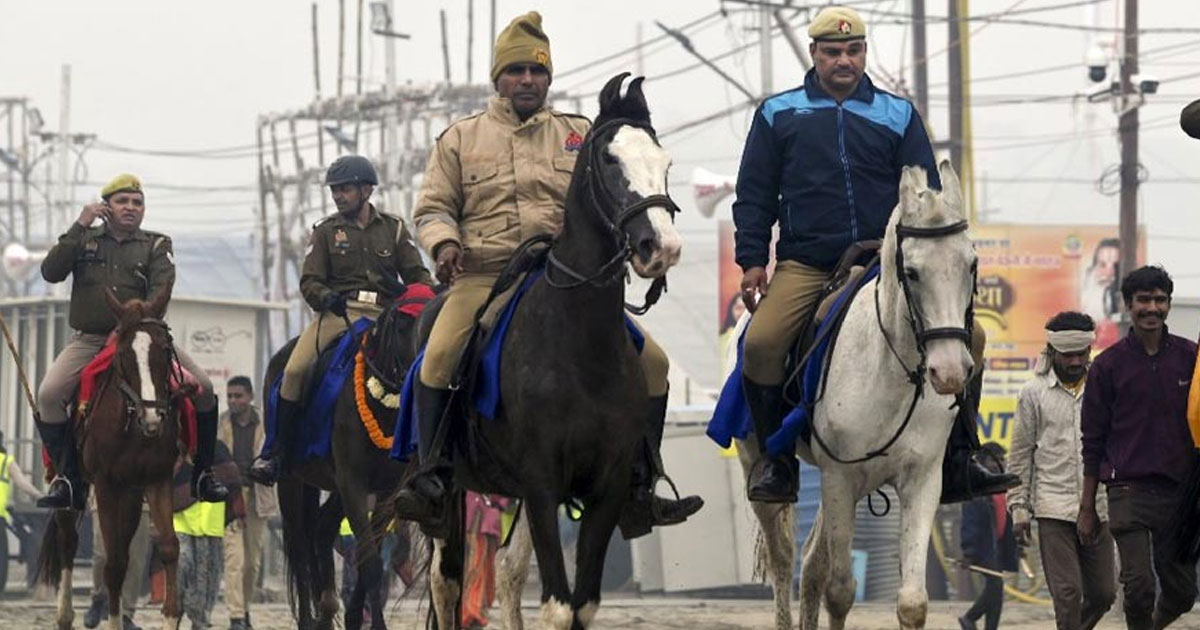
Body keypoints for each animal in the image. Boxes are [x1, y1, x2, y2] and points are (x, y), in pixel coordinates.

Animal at [734, 162, 979, 628]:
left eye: (971, 264)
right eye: (912, 272)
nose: (950, 372)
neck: (892, 373)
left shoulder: (922, 479)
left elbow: (912, 601)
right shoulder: (840, 479)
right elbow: (841, 591)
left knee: (811, 561)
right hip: (761, 464)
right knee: (785, 559)